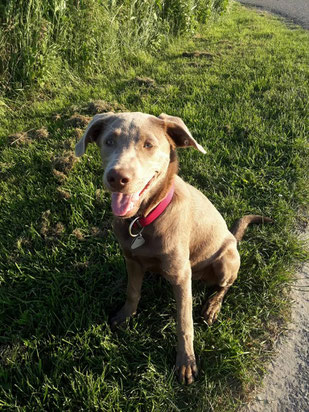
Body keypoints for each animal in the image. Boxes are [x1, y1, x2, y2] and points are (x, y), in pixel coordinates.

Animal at [74, 112, 270, 384]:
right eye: (109, 141)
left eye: (149, 144)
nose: (117, 178)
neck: (144, 218)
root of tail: (233, 237)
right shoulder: (131, 259)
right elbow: (132, 292)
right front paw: (125, 316)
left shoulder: (180, 275)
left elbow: (184, 321)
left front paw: (186, 362)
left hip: (226, 260)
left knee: (225, 285)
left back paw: (212, 306)